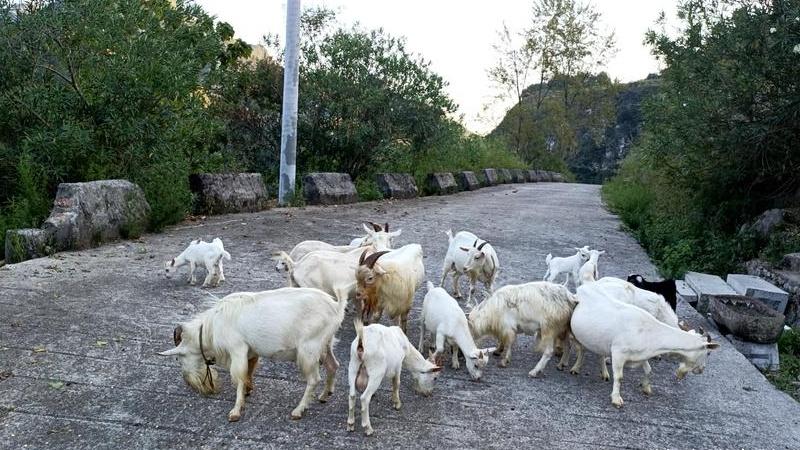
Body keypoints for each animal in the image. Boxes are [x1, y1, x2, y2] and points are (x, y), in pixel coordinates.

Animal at [158, 290, 346, 420]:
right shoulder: (250, 352)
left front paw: (235, 411)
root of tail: (336, 308)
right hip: (326, 344)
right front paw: (248, 391)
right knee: (333, 365)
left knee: (314, 379)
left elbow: (239, 377)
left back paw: (298, 410)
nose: (188, 383)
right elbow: (248, 371)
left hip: (309, 350)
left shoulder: (237, 350)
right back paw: (324, 395)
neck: (212, 326)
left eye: (178, 358)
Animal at [572, 284, 720, 408]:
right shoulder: (619, 353)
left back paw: (604, 373)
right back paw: (576, 368)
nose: (701, 370)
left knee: (599, 353)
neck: (650, 331)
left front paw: (646, 388)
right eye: (708, 353)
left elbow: (649, 370)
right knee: (582, 349)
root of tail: (584, 286)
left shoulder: (641, 354)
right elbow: (619, 377)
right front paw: (616, 399)